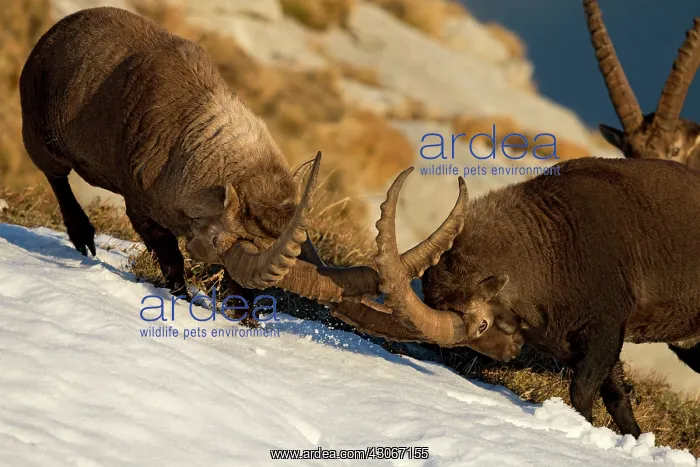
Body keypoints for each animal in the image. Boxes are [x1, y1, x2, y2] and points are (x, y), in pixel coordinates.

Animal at [332, 157, 700, 437]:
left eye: (481, 325)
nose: (508, 354)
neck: (553, 245)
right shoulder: (585, 342)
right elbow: (616, 395)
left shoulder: (606, 326)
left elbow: (583, 392)